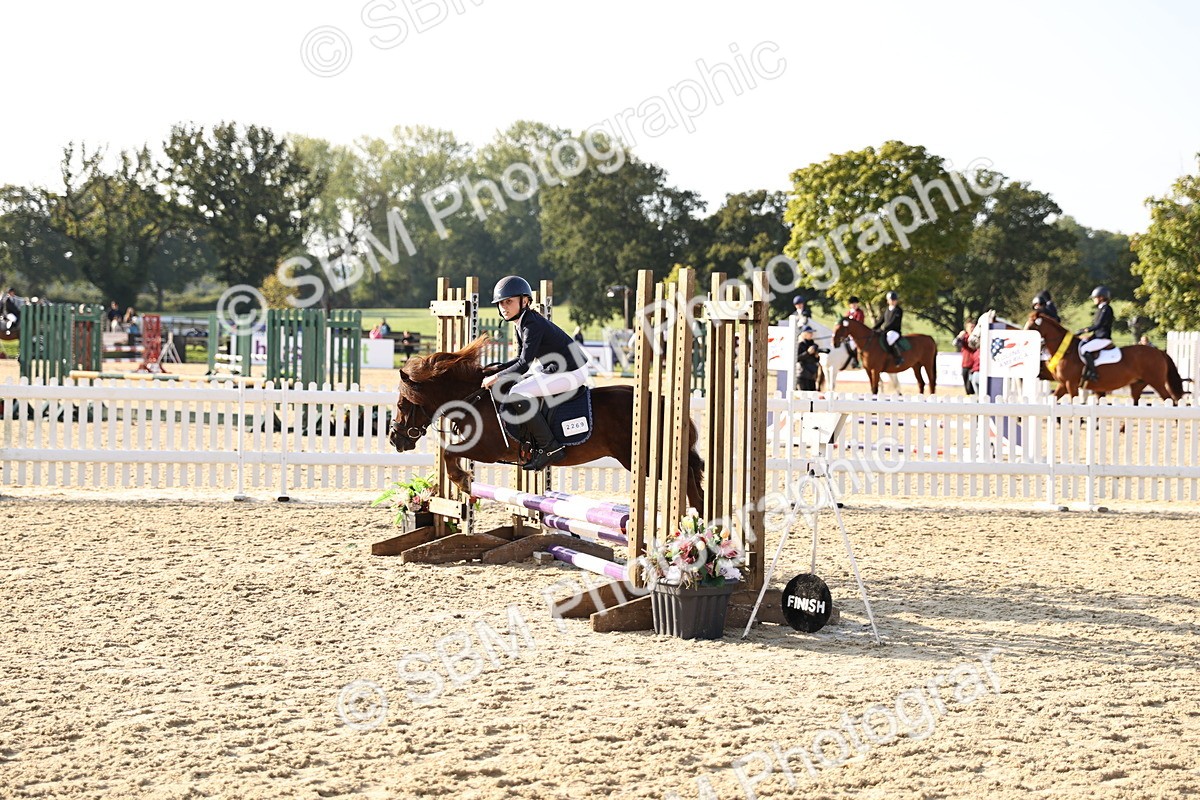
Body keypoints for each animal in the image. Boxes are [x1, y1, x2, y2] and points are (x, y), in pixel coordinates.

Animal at [388, 335, 707, 508]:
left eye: (402, 404)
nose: (394, 439)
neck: (474, 397)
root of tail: (662, 402)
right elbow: (448, 454)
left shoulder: (487, 449)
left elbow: (449, 454)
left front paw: (464, 482)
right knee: (693, 476)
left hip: (644, 459)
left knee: (686, 478)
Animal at [1024, 311, 1185, 404]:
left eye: (1032, 326)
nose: (1024, 340)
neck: (1066, 351)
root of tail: (1159, 352)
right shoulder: (1063, 384)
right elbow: (1055, 398)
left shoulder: (1071, 384)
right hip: (1138, 384)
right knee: (1135, 402)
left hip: (1157, 382)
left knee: (1171, 400)